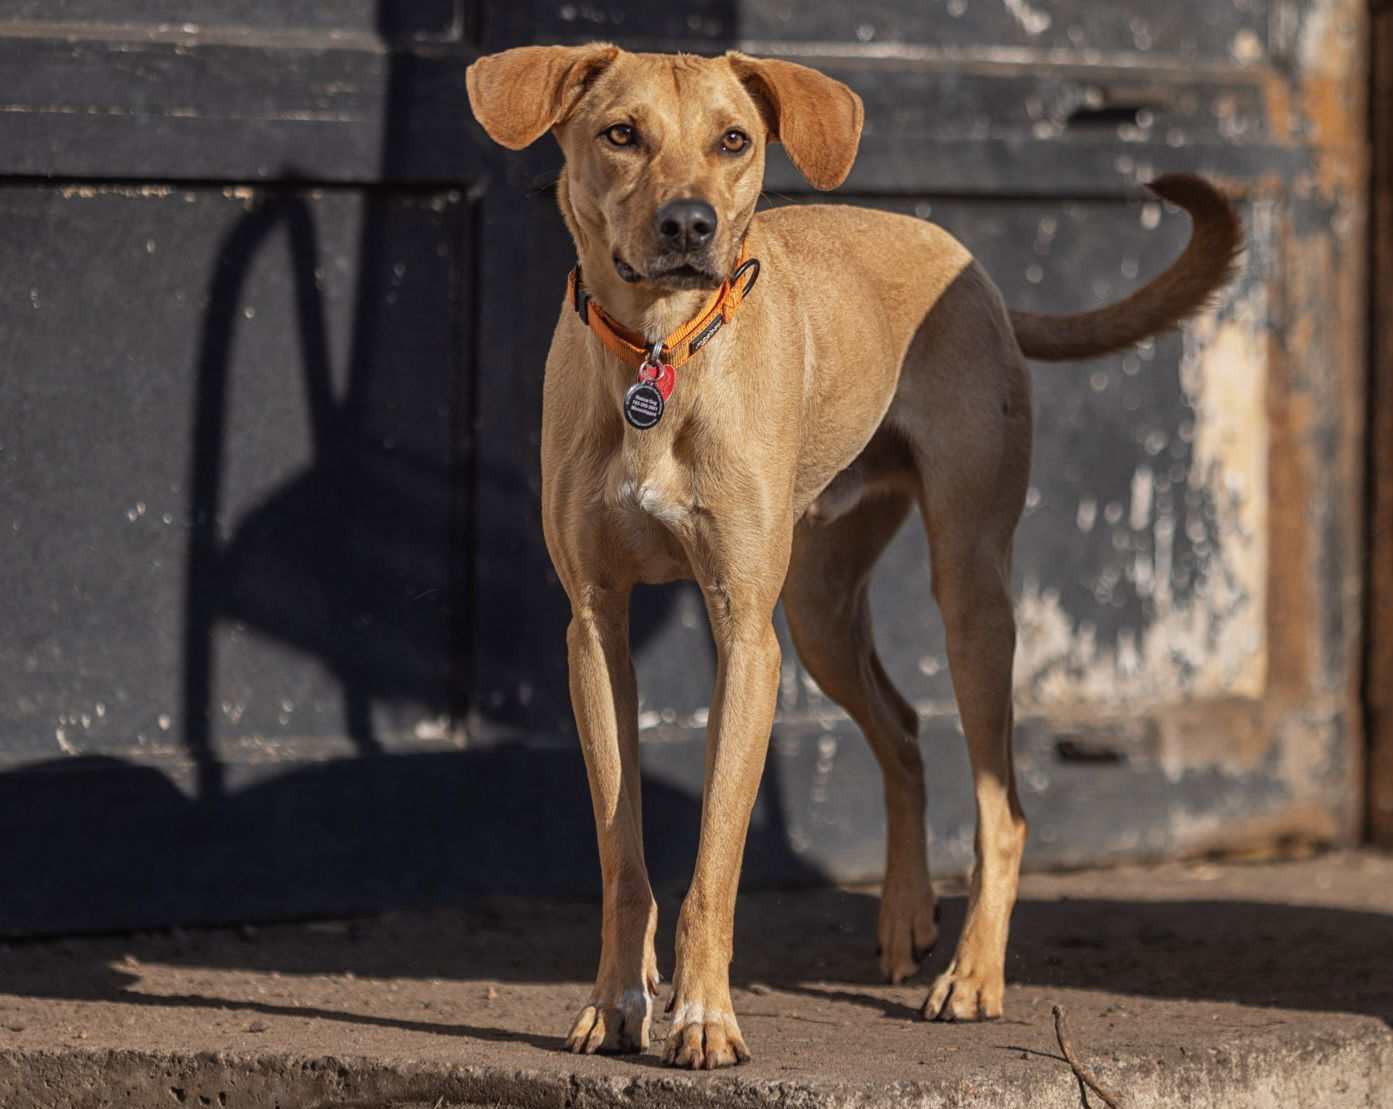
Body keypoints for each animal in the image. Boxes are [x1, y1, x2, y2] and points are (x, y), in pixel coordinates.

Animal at [468, 41, 1242, 1064]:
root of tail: (976, 271)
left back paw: (972, 976)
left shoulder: (746, 638)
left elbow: (714, 863)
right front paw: (618, 1000)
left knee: (1003, 809)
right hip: (819, 610)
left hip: (966, 594)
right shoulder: (595, 629)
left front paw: (704, 1014)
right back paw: (906, 918)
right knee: (904, 733)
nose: (689, 223)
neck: (661, 353)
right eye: (621, 133)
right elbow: (621, 854)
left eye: (733, 140)